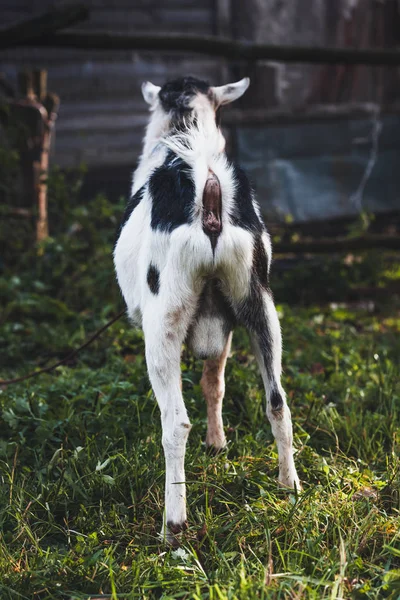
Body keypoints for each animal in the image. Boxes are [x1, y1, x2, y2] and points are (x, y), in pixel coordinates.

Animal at [114, 76, 298, 544]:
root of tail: (208, 187)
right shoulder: (226, 324)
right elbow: (214, 382)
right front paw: (218, 445)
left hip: (165, 314)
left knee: (175, 423)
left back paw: (173, 525)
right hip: (258, 299)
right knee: (277, 399)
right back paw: (290, 488)